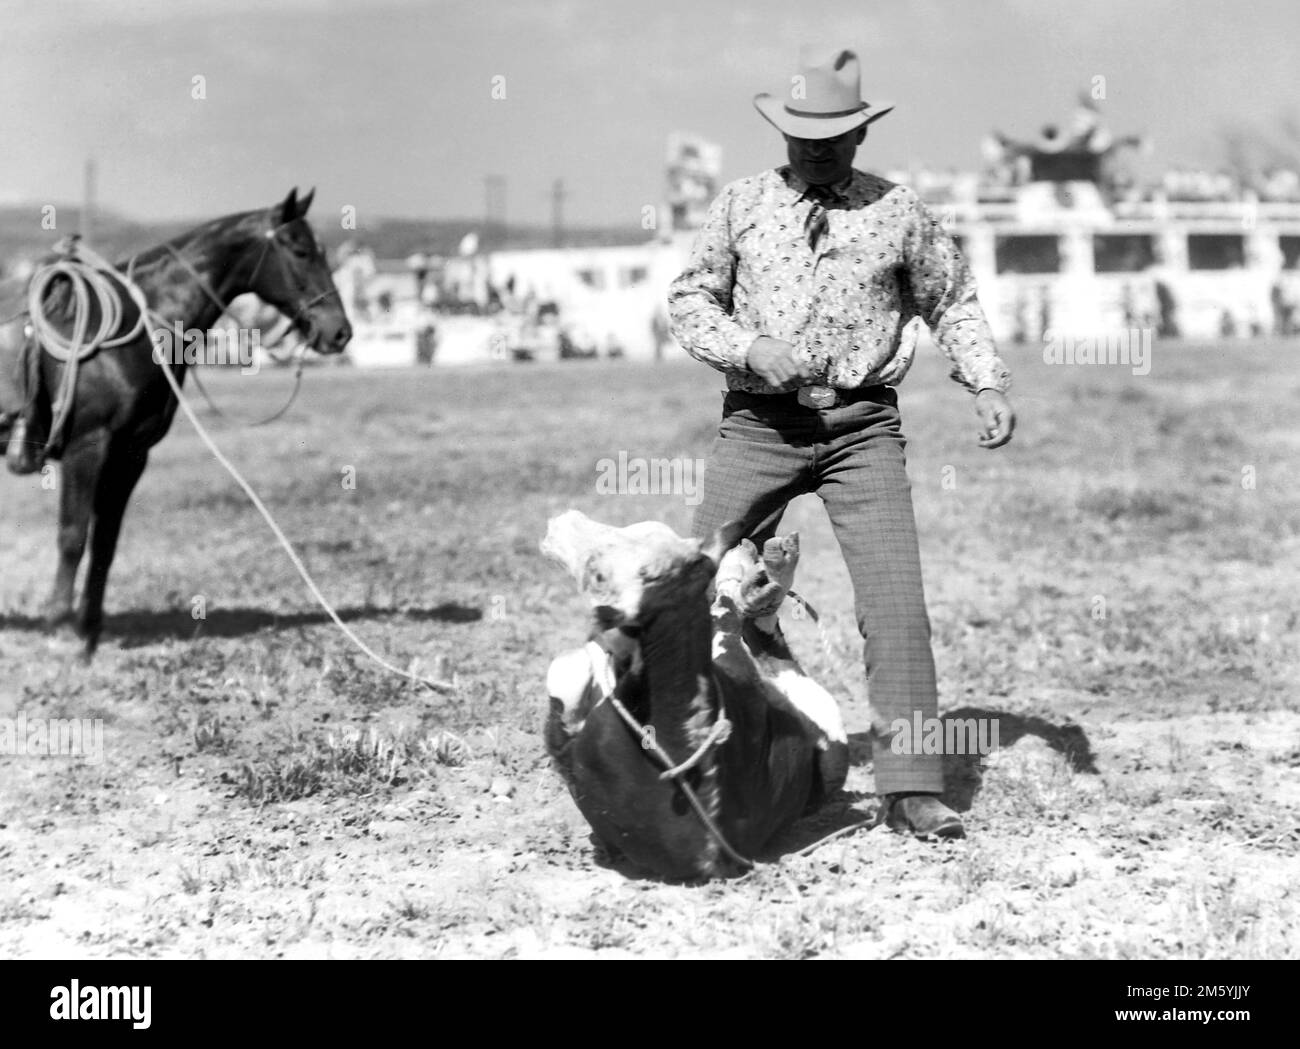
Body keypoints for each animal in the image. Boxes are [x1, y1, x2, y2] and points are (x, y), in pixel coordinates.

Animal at [0, 184, 351, 652]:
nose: (339, 332)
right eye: (299, 250)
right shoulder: (86, 449)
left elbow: (105, 544)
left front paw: (89, 629)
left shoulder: (130, 454)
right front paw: (59, 626)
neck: (128, 331)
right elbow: (73, 536)